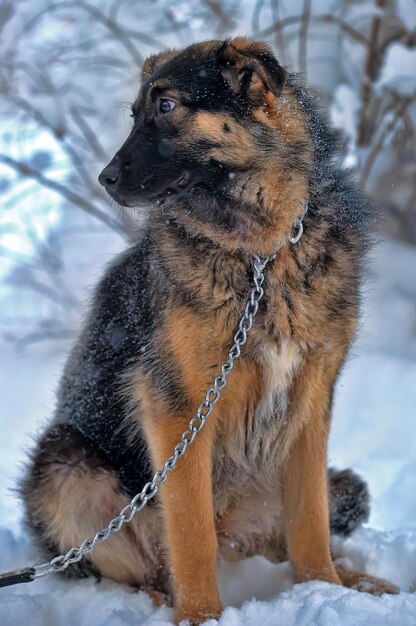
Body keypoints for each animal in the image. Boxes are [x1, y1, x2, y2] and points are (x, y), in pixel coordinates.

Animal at [21, 37, 398, 620]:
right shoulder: (177, 412)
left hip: (322, 486)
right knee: (130, 567)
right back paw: (154, 602)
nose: (105, 179)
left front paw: (325, 589)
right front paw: (200, 617)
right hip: (64, 461)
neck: (262, 252)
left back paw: (355, 580)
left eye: (166, 106)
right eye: (135, 114)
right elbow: (190, 530)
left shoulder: (311, 403)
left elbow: (309, 521)